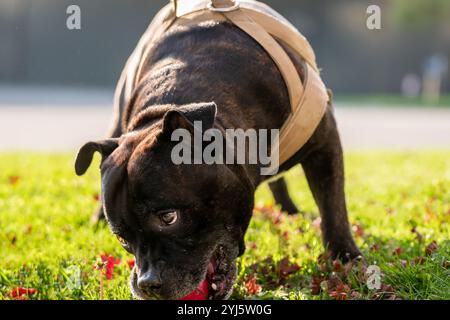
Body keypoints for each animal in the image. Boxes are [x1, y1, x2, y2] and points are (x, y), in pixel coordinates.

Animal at [74, 12, 362, 298]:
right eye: (122, 239)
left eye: (169, 217)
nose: (147, 284)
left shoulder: (324, 142)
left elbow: (333, 205)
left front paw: (345, 256)